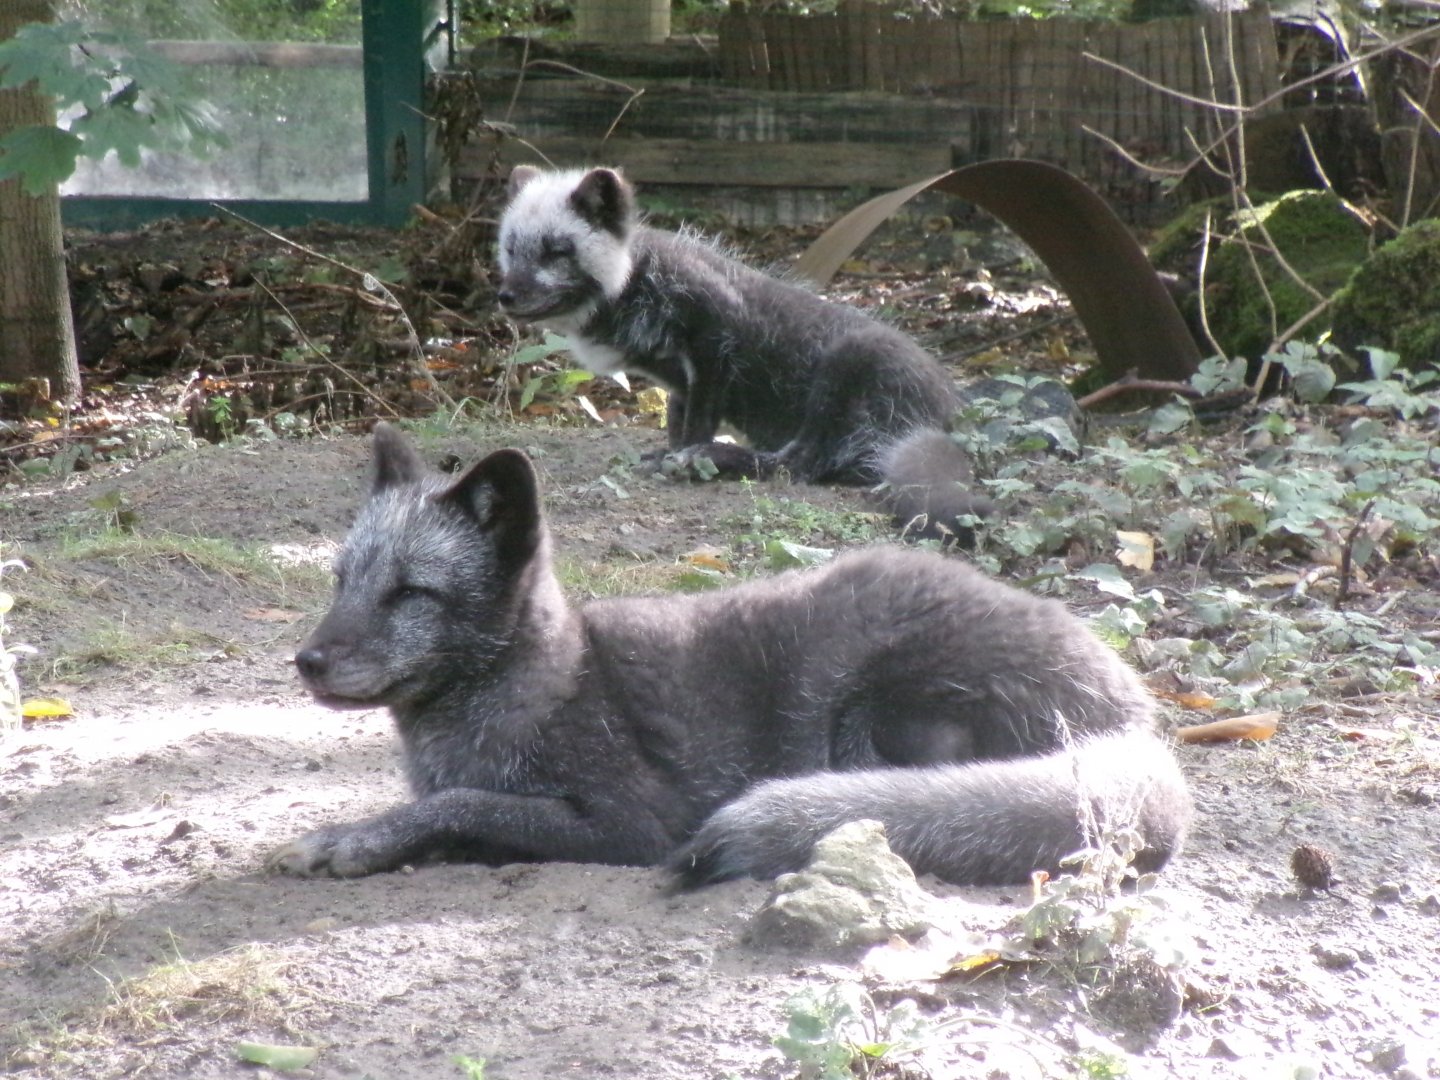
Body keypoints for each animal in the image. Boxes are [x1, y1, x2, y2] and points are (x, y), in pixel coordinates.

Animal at [268, 423, 1192, 885]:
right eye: (344, 579)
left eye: (410, 593)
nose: (307, 662)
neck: (538, 684)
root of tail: (1132, 716)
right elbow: (455, 803)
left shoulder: (632, 822)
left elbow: (464, 807)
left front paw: (358, 837)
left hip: (873, 710)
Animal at [495, 164, 990, 537]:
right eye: (511, 249)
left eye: (557, 251)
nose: (504, 296)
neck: (636, 280)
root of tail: (953, 415)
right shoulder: (680, 380)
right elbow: (677, 424)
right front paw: (667, 455)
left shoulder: (717, 342)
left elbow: (695, 429)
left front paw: (685, 459)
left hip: (847, 364)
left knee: (799, 465)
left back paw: (717, 460)